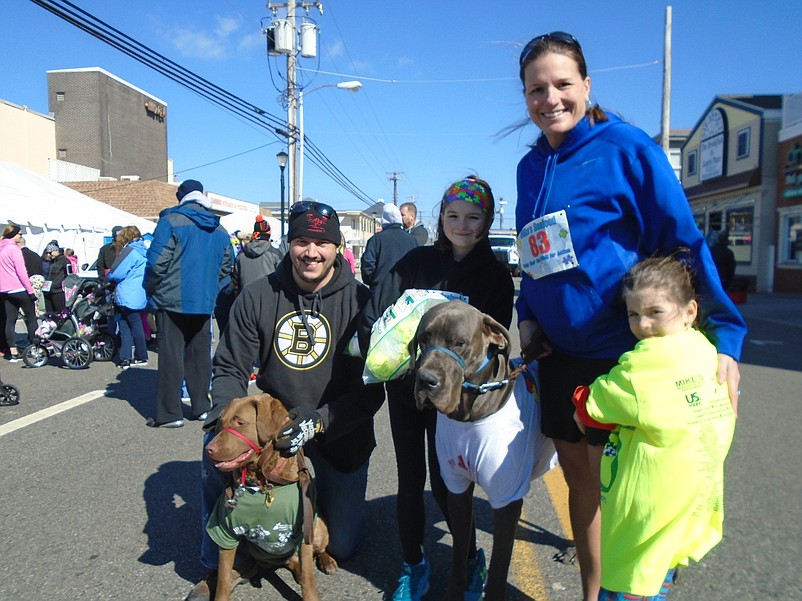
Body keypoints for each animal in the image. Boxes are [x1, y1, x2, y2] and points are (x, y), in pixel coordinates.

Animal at [205, 394, 336, 600]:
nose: (209, 449)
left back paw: (327, 561)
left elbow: (309, 578)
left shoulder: (305, 531)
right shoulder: (225, 532)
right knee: (291, 562)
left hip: (319, 527)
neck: (263, 483)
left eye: (240, 422)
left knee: (318, 551)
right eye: (222, 423)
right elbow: (223, 579)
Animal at [412, 302, 552, 596]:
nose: (426, 380)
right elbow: (460, 549)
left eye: (459, 343)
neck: (470, 415)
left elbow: (499, 566)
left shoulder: (507, 499)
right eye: (423, 339)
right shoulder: (457, 488)